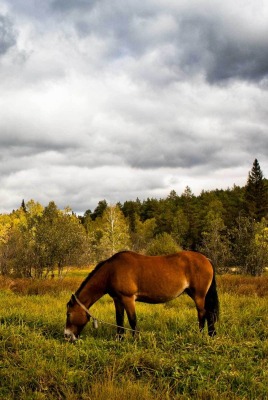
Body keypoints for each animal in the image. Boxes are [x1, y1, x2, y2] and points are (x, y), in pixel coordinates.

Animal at [63, 250, 219, 340]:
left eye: (69, 314)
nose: (66, 335)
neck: (111, 271)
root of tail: (207, 259)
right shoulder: (117, 300)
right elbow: (119, 320)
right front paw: (119, 339)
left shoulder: (128, 298)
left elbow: (132, 320)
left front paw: (135, 339)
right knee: (208, 314)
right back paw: (211, 335)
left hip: (199, 295)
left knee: (203, 314)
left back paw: (201, 335)